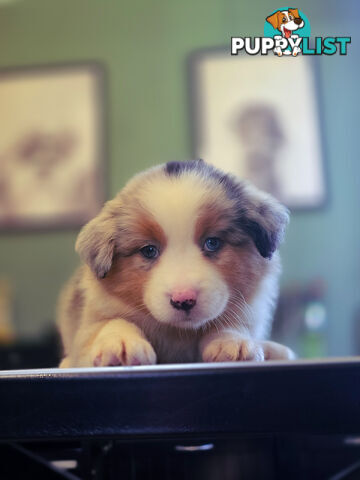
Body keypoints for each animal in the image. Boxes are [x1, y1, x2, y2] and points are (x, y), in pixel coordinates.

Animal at [56, 161, 294, 368]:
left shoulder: (247, 311)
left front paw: (232, 342)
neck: (178, 332)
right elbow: (110, 322)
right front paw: (120, 343)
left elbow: (232, 324)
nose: (183, 300)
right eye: (149, 250)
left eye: (212, 243)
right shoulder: (93, 319)